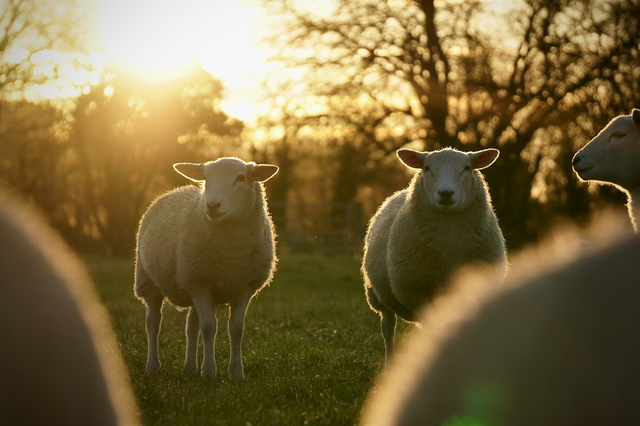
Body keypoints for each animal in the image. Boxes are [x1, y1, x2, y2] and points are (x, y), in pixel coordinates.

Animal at [134, 157, 278, 380]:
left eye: (241, 178)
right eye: (205, 178)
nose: (212, 206)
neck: (230, 251)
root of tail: (175, 190)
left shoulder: (243, 287)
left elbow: (236, 329)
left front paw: (236, 373)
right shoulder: (200, 284)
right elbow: (209, 327)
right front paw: (209, 372)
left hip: (191, 282)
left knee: (192, 325)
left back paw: (189, 367)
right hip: (149, 280)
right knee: (153, 322)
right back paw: (152, 367)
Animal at [361, 147, 506, 368]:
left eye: (467, 168)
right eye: (427, 168)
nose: (446, 193)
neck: (450, 249)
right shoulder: (419, 293)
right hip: (377, 295)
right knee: (388, 326)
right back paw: (390, 365)